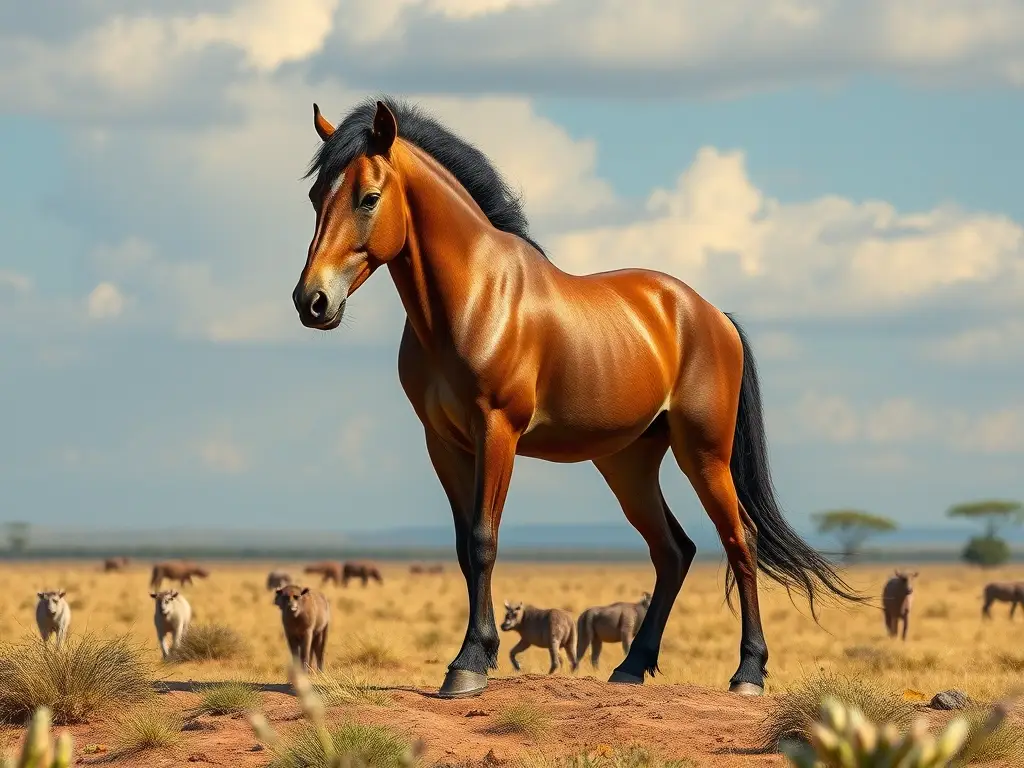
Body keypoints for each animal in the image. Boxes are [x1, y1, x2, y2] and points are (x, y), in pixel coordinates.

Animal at [290, 97, 863, 699]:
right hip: (628, 463)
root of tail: (711, 315)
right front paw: (479, 652)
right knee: (673, 550)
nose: (312, 301)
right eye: (315, 196)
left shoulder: (497, 431)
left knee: (739, 542)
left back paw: (747, 672)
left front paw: (468, 664)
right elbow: (464, 549)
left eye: (368, 197)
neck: (474, 297)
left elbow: (483, 540)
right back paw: (632, 665)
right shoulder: (443, 443)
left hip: (704, 455)